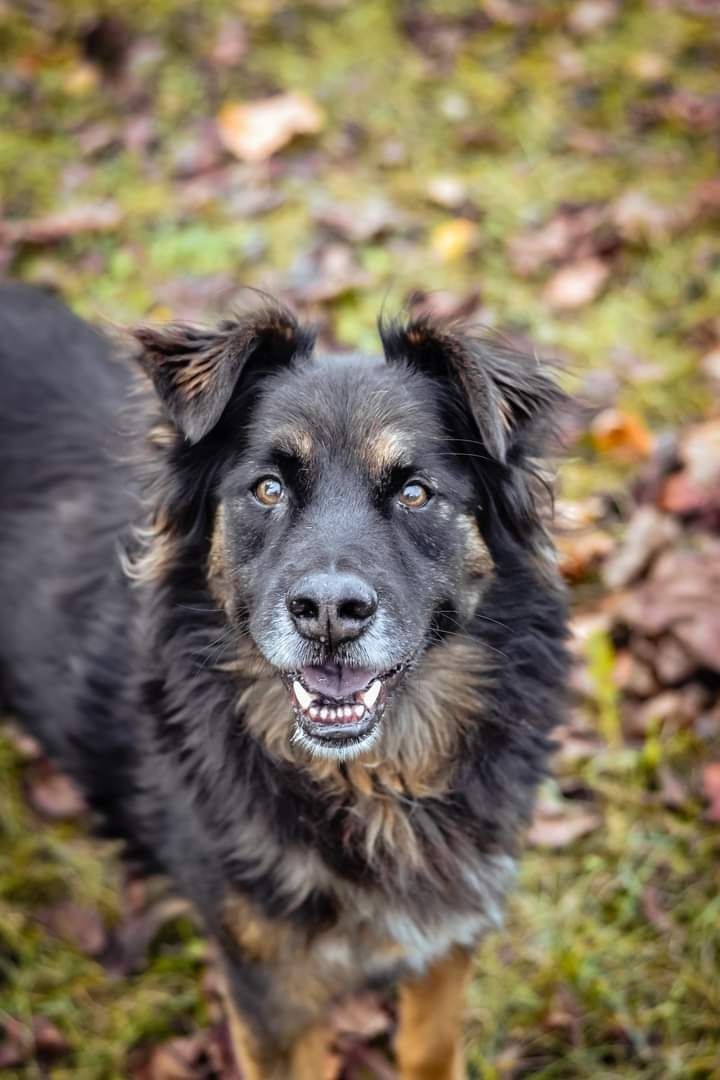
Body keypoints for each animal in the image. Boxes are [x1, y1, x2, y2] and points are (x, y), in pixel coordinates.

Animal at [0, 282, 569, 1075]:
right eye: (268, 488)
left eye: (415, 493)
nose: (329, 612)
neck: (369, 788)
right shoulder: (272, 993)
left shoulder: (448, 931)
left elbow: (429, 1048)